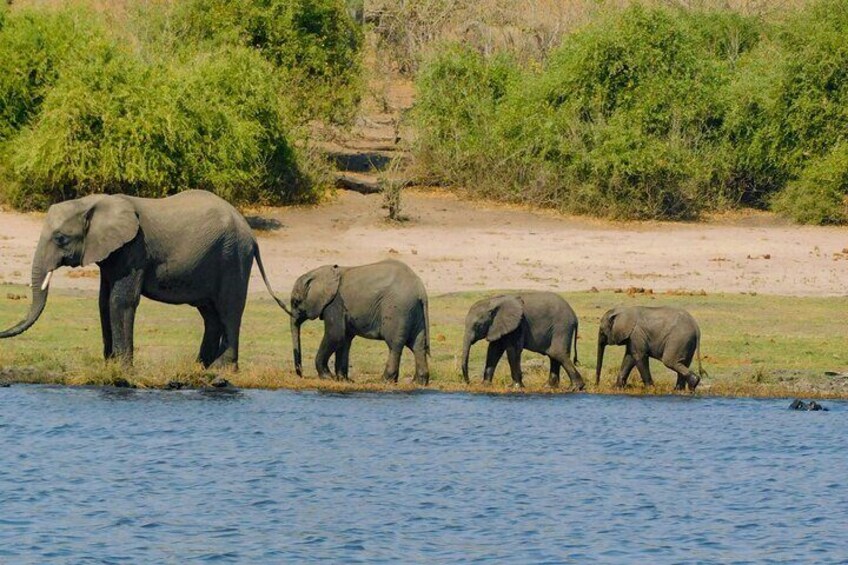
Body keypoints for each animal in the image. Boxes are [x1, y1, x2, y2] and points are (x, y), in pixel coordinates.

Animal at [0, 190, 287, 369]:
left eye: (61, 239)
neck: (94, 201)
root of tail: (251, 234)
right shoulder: (113, 253)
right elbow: (104, 302)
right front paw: (110, 366)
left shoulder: (133, 248)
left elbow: (121, 301)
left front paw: (123, 369)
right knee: (210, 314)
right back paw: (200, 367)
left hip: (233, 256)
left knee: (229, 309)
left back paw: (221, 370)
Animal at [288, 259, 430, 384]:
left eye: (296, 302)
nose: (301, 374)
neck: (318, 273)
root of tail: (421, 290)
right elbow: (344, 339)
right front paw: (344, 380)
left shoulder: (335, 303)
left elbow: (335, 336)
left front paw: (328, 378)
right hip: (414, 311)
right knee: (418, 345)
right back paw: (418, 382)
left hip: (397, 309)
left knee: (395, 345)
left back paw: (385, 381)